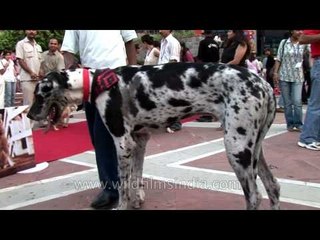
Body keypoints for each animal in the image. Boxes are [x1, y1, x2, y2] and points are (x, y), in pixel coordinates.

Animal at [28, 62, 282, 209]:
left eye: (40, 93)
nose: (29, 114)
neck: (95, 82)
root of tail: (265, 85)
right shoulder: (138, 141)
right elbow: (136, 178)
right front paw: (137, 200)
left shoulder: (122, 143)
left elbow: (123, 187)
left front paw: (124, 205)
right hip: (254, 149)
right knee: (273, 187)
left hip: (237, 149)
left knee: (254, 196)